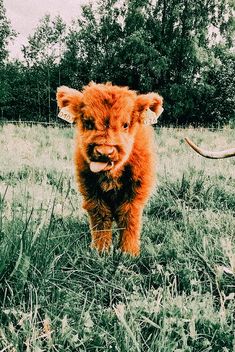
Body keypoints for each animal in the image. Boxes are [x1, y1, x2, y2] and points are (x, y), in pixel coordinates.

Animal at [57, 82, 163, 256]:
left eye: (125, 125)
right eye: (88, 123)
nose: (104, 152)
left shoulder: (136, 191)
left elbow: (129, 217)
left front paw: (128, 252)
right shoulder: (91, 191)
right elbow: (101, 216)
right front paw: (101, 250)